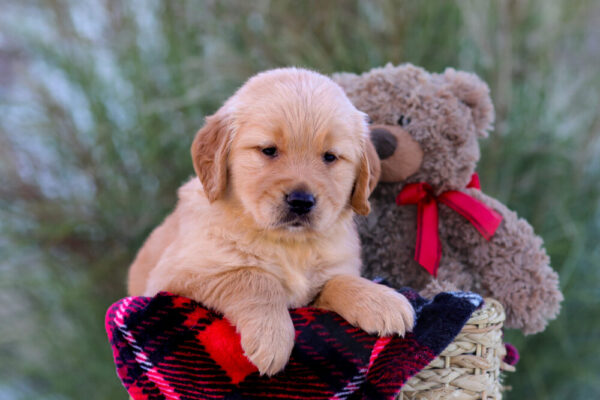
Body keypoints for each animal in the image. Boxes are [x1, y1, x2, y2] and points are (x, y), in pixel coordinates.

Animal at [129, 67, 414, 376]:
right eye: (268, 150)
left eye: (330, 157)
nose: (301, 201)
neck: (288, 243)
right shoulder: (175, 277)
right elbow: (253, 277)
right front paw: (271, 336)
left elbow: (337, 280)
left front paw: (379, 300)